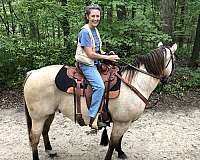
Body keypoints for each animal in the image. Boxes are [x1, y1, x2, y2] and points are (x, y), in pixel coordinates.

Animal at [23, 42, 178, 160]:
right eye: (174, 60)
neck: (134, 83)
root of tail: (33, 73)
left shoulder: (123, 122)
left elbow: (119, 140)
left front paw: (121, 153)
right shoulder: (121, 122)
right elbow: (113, 143)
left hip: (49, 113)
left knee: (45, 131)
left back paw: (50, 150)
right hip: (38, 117)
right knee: (34, 138)